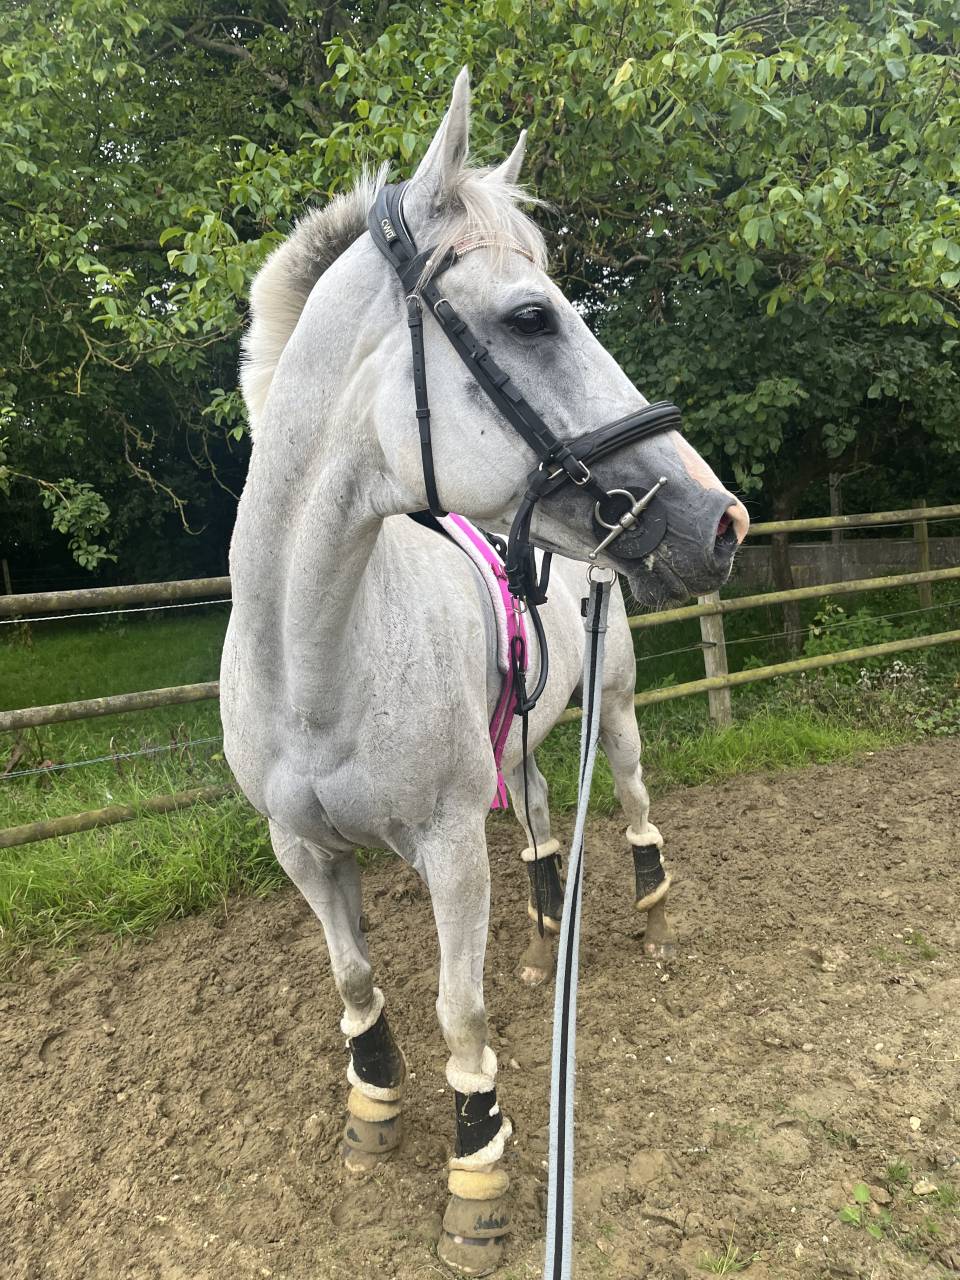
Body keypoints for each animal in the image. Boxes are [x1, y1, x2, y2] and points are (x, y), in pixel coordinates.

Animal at [220, 69, 748, 1276]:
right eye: (531, 317)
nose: (720, 518)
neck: (319, 664)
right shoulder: (303, 849)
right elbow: (355, 979)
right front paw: (373, 1107)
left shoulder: (451, 845)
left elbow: (459, 1008)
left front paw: (478, 1164)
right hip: (522, 733)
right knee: (546, 810)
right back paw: (552, 923)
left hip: (617, 705)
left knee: (629, 791)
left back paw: (648, 902)